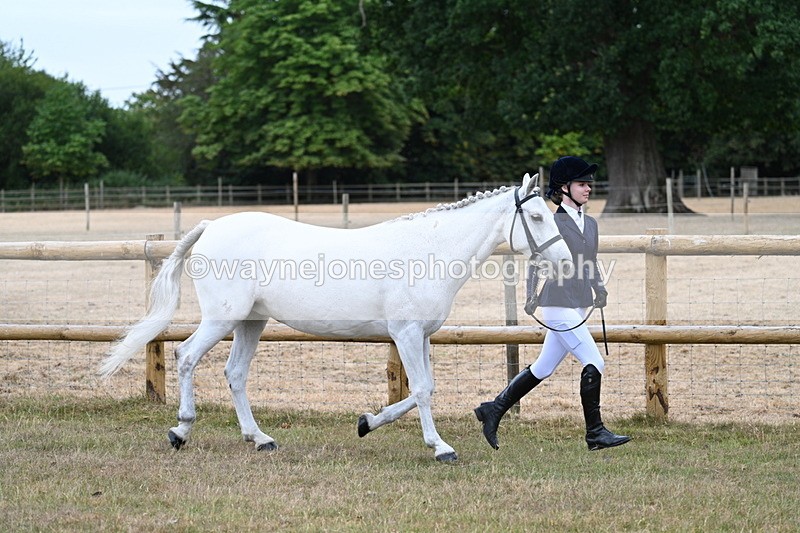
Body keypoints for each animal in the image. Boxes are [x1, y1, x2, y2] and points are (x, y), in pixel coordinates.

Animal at [100, 172, 572, 462]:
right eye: (535, 216)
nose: (567, 262)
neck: (428, 252)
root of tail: (212, 226)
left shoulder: (420, 336)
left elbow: (424, 390)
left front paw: (367, 422)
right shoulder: (405, 334)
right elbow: (421, 390)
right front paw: (440, 447)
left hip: (251, 323)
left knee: (234, 374)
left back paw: (260, 439)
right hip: (222, 320)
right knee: (185, 357)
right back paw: (181, 431)